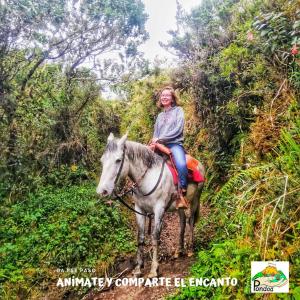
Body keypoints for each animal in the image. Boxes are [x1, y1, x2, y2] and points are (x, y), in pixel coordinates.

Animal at [96, 132, 204, 278]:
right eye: (102, 160)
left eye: (118, 160)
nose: (102, 191)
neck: (147, 178)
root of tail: (198, 163)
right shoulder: (139, 209)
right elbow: (140, 237)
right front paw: (138, 268)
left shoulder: (159, 209)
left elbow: (154, 237)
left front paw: (154, 270)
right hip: (179, 206)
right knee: (182, 222)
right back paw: (179, 250)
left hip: (195, 199)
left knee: (191, 221)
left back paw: (191, 249)